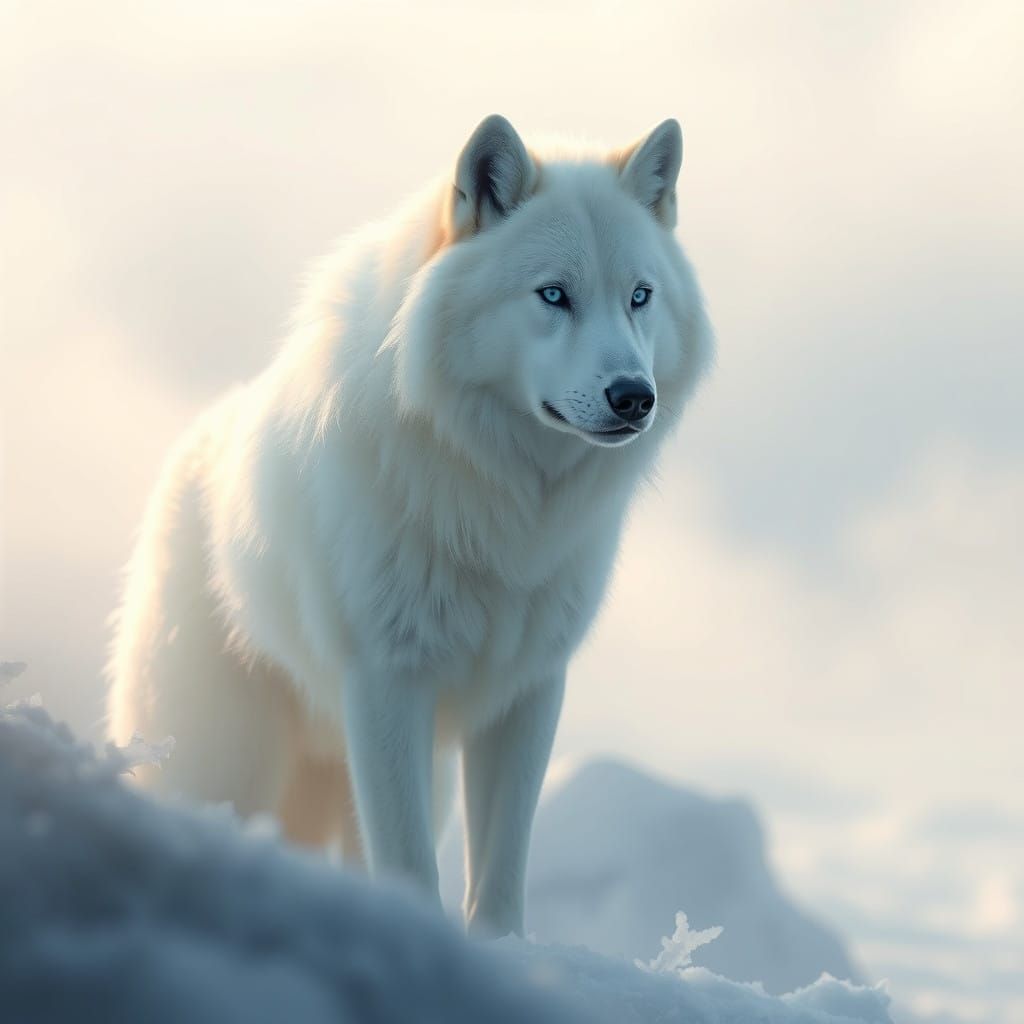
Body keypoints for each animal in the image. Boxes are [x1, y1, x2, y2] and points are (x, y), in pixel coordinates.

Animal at [107, 114, 712, 937]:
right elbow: (409, 865)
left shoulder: (527, 693)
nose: (634, 396)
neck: (501, 501)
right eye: (554, 295)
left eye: (640, 297)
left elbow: (499, 874)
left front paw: (498, 950)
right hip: (230, 756)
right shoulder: (387, 682)